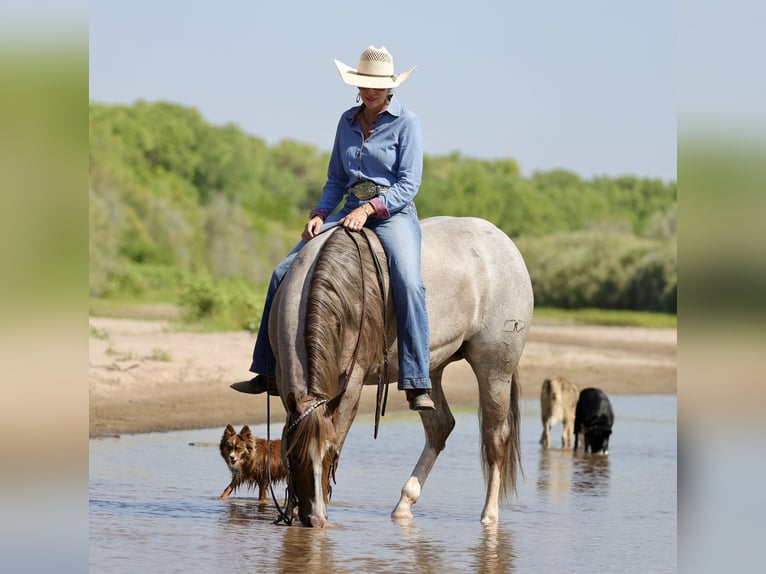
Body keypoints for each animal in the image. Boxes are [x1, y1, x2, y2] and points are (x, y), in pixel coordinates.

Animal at [269, 216, 534, 527]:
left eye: (331, 456)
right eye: (294, 457)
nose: (316, 519)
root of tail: (503, 242)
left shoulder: (352, 385)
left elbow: (339, 433)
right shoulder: (286, 382)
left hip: (495, 370)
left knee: (495, 437)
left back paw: (489, 516)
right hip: (431, 369)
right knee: (440, 427)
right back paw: (404, 505)